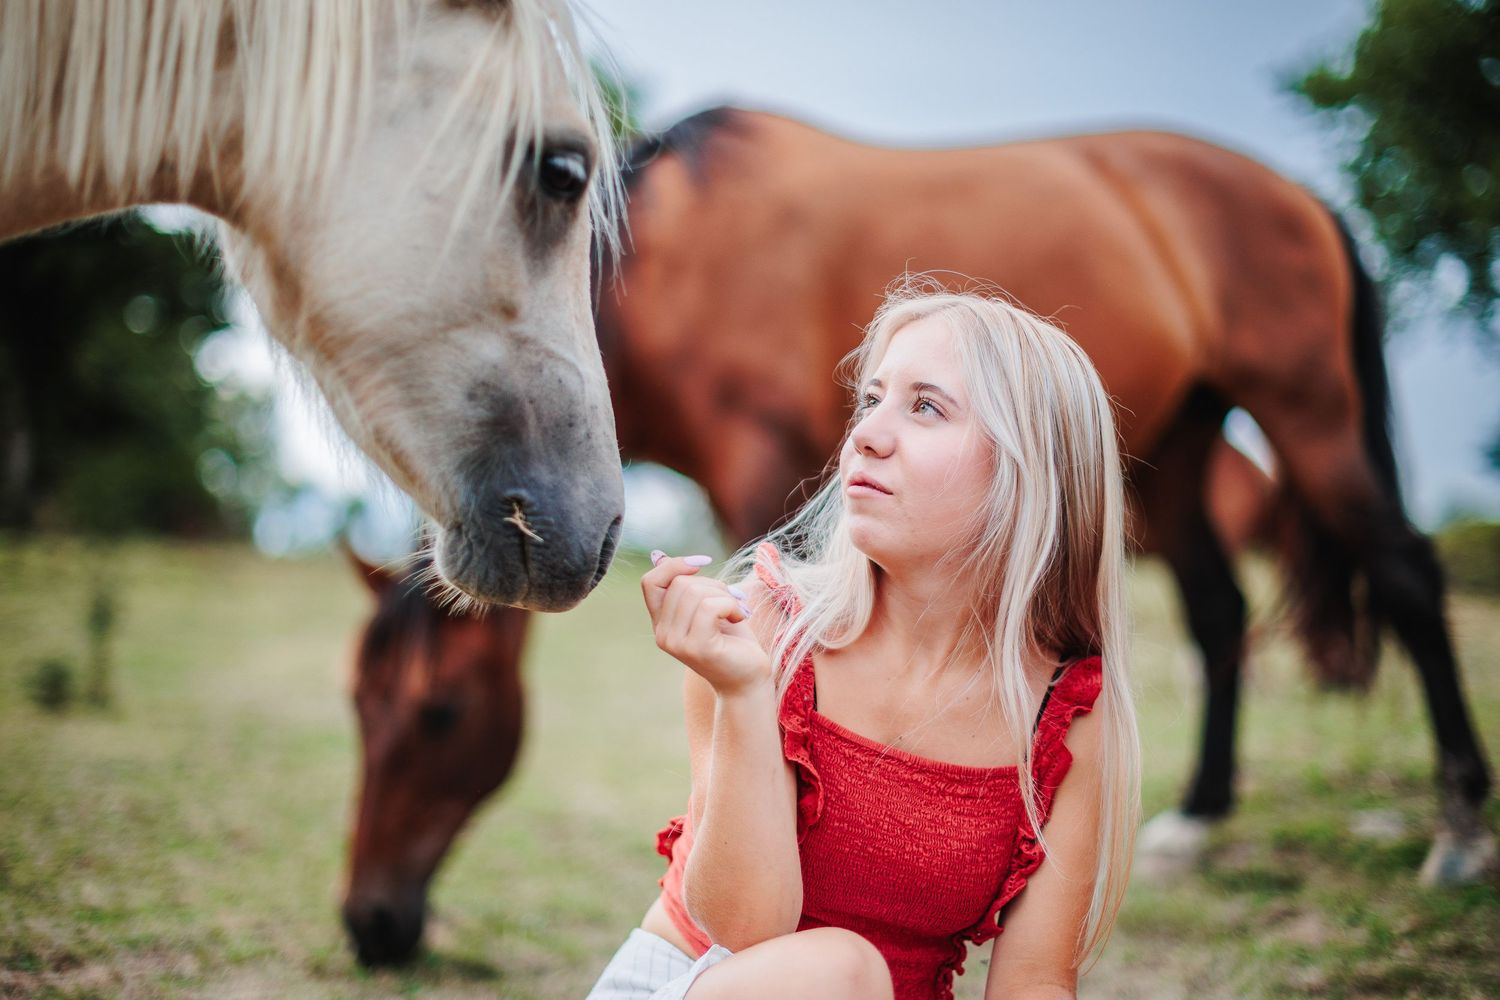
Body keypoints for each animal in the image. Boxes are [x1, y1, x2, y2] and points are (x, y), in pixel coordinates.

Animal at [592, 107, 1491, 881]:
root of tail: (1300, 194)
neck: (674, 252)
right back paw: (1197, 816)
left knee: (1405, 572)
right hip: (1177, 447)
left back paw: (1461, 826)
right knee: (1219, 609)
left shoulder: (759, 457)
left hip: (1310, 406)